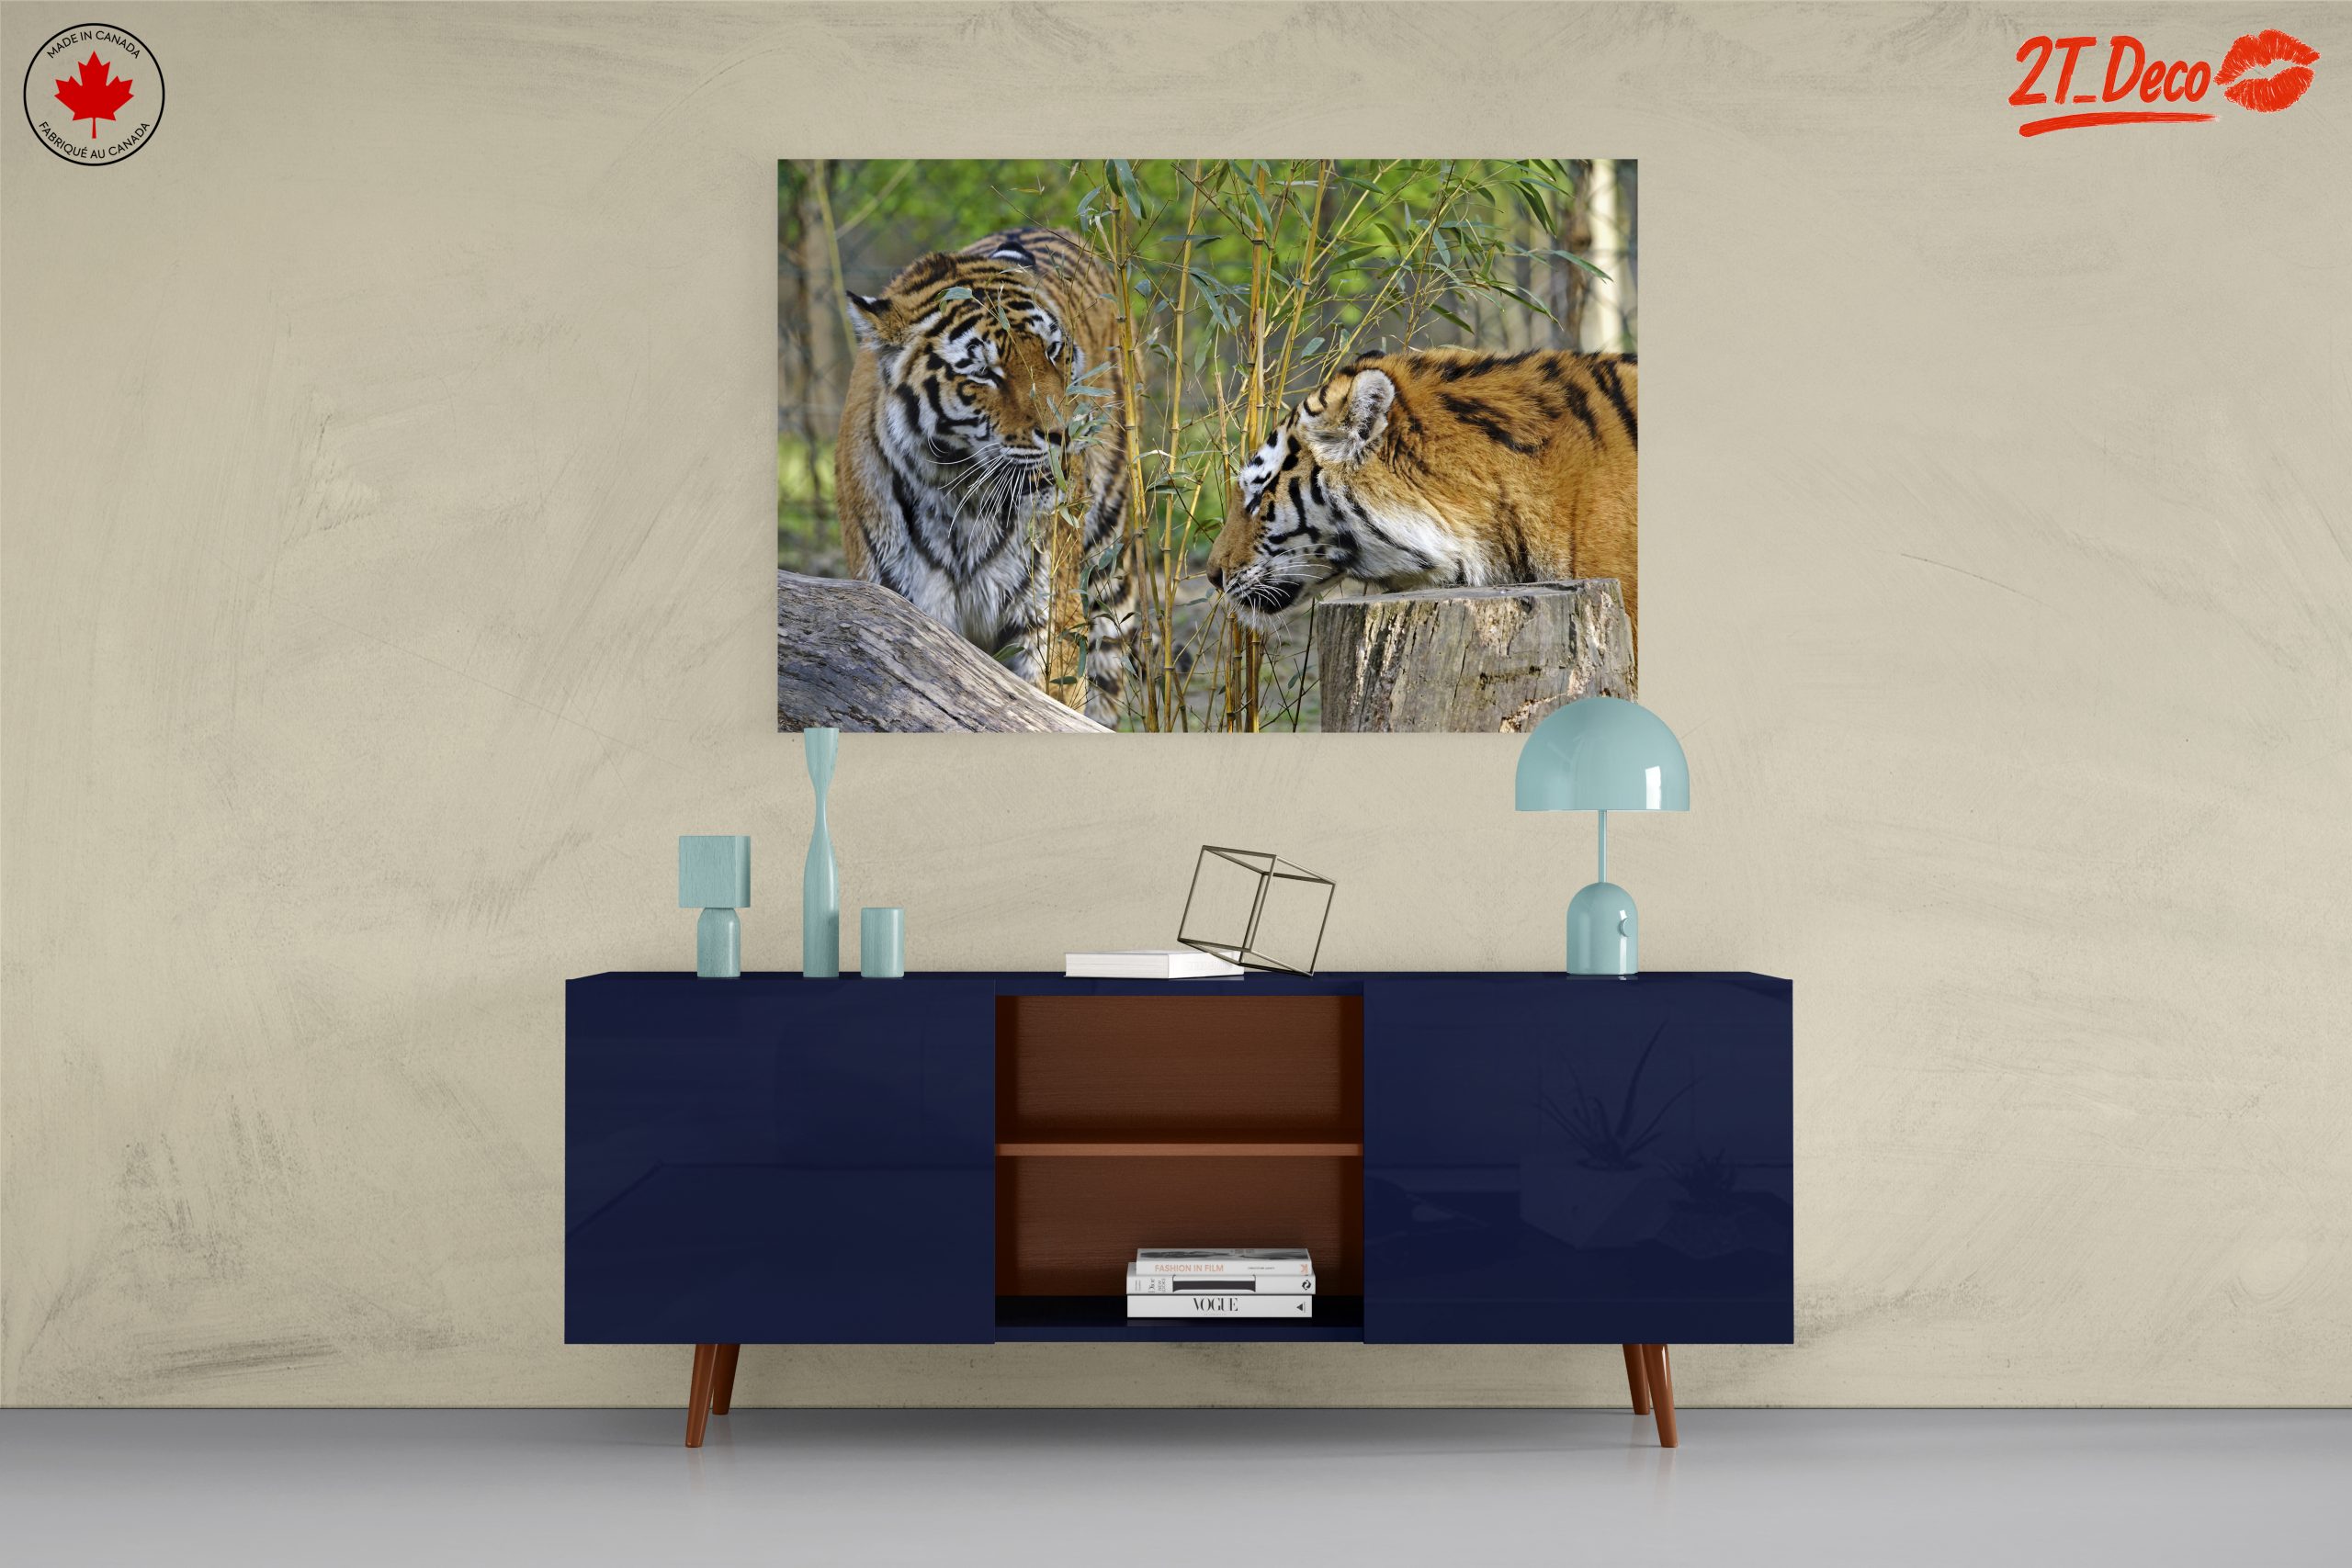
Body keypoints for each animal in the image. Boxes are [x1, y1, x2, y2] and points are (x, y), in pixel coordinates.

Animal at [834, 226, 1134, 719]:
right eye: (984, 373)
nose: (1065, 434)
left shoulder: (1047, 617)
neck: (960, 496)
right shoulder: (906, 612)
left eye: (1053, 351)